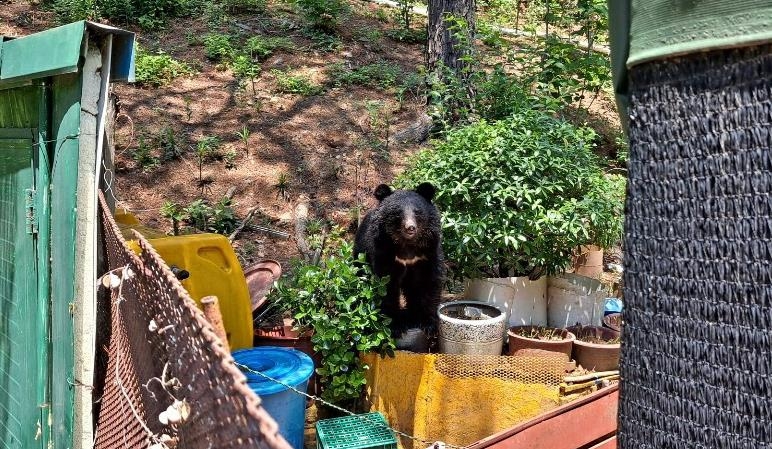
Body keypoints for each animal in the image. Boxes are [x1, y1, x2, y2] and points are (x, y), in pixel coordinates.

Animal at [354, 182, 444, 336]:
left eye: (417, 212)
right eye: (398, 213)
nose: (410, 228)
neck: (407, 245)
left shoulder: (428, 253)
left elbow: (427, 283)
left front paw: (428, 325)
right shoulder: (383, 252)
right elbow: (386, 287)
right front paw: (395, 326)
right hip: (361, 254)